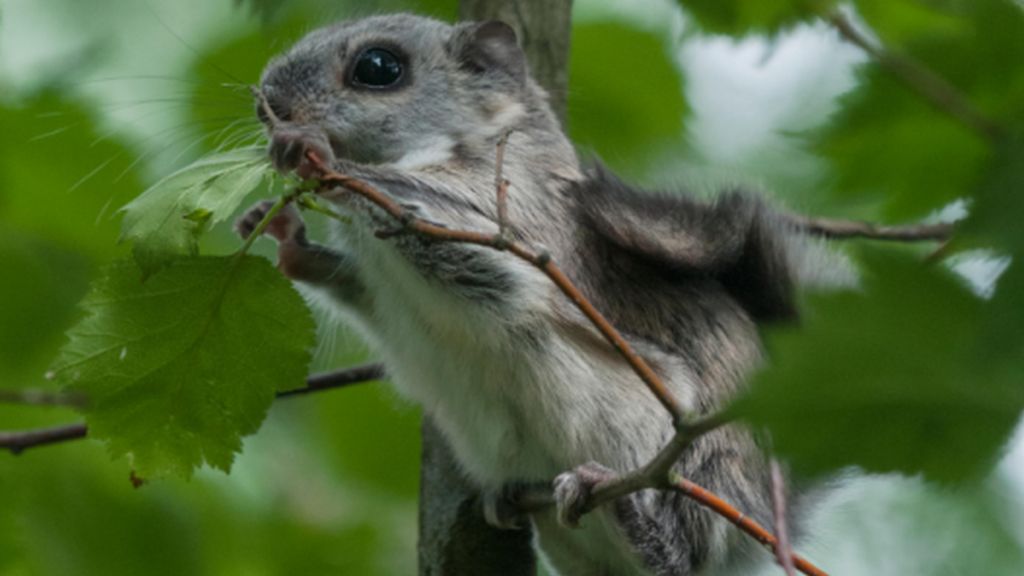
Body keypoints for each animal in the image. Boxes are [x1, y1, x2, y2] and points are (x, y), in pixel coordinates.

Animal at [236, 13, 829, 576]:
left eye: (379, 67)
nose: (269, 105)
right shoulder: (378, 288)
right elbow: (355, 286)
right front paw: (285, 238)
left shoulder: (522, 226)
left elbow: (439, 228)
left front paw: (316, 156)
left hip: (685, 463)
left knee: (684, 552)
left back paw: (627, 512)